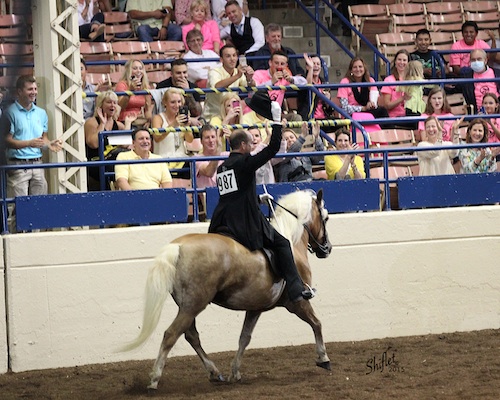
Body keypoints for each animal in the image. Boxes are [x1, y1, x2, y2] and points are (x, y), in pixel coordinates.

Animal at [121, 189, 332, 390]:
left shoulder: (255, 308)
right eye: (326, 217)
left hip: (186, 306)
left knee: (191, 336)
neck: (292, 240)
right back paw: (154, 379)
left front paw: (235, 372)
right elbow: (317, 323)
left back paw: (214, 372)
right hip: (193, 305)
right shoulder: (297, 303)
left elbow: (244, 338)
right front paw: (323, 358)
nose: (327, 248)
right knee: (171, 335)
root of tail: (178, 246)